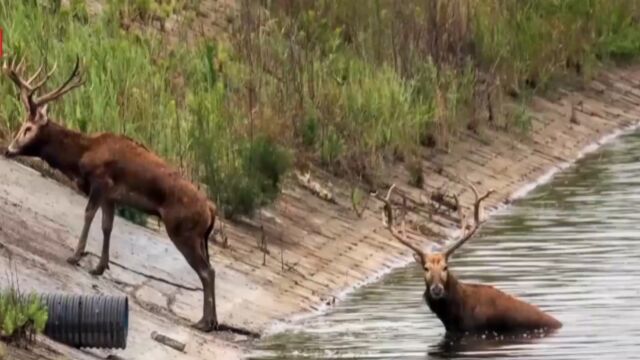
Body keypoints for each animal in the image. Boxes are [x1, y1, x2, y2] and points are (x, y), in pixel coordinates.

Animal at [3, 55, 220, 332]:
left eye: (28, 128)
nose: (9, 149)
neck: (81, 156)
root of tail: (211, 210)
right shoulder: (112, 196)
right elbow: (107, 225)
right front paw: (99, 266)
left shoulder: (100, 182)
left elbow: (88, 214)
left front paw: (75, 256)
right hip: (200, 238)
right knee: (211, 269)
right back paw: (212, 321)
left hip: (183, 230)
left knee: (206, 271)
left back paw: (204, 322)